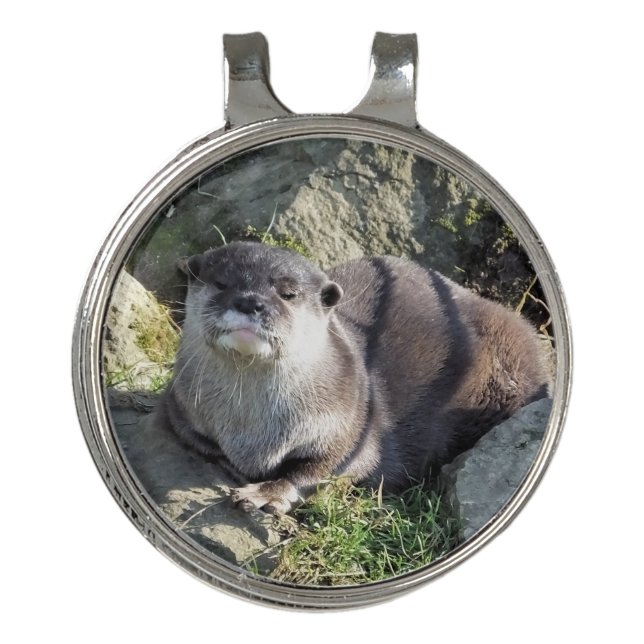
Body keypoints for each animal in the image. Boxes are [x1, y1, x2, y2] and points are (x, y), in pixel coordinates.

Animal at [160, 241, 551, 514]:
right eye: (221, 283)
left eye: (288, 293)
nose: (249, 301)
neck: (252, 432)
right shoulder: (179, 407)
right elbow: (202, 444)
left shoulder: (352, 422)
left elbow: (327, 468)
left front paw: (265, 492)